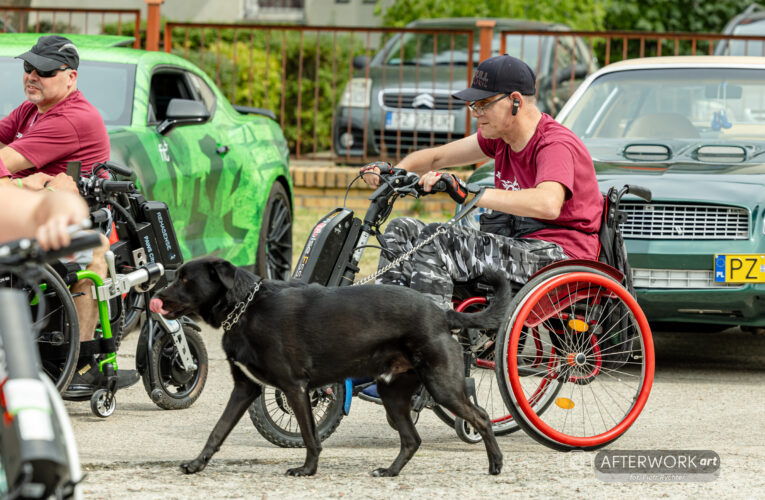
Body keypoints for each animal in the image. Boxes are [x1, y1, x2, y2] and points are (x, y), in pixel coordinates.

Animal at [151, 258, 510, 476]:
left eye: (185, 279)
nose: (156, 295)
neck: (245, 308)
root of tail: (442, 313)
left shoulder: (295, 388)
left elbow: (310, 436)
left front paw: (307, 470)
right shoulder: (245, 389)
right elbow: (218, 430)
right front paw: (197, 464)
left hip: (442, 385)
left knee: (481, 417)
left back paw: (495, 463)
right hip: (392, 394)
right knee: (412, 439)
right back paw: (390, 471)